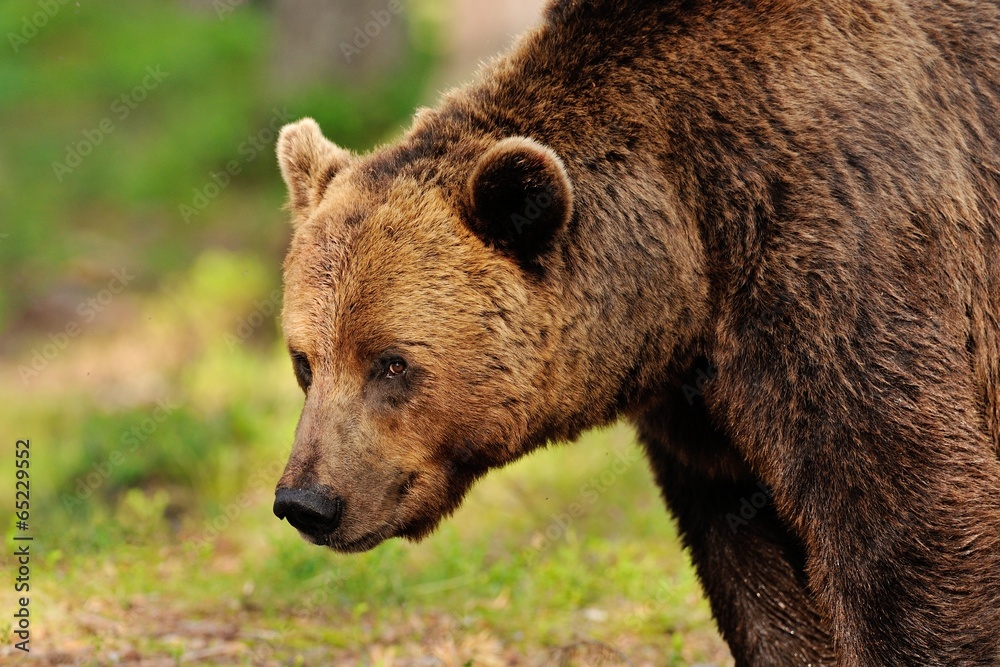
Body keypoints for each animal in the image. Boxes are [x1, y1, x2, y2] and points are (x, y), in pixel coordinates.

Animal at [270, 1, 1000, 667]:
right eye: (304, 362)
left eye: (391, 362)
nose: (307, 500)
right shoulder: (698, 411)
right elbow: (756, 573)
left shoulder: (839, 257)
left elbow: (903, 518)